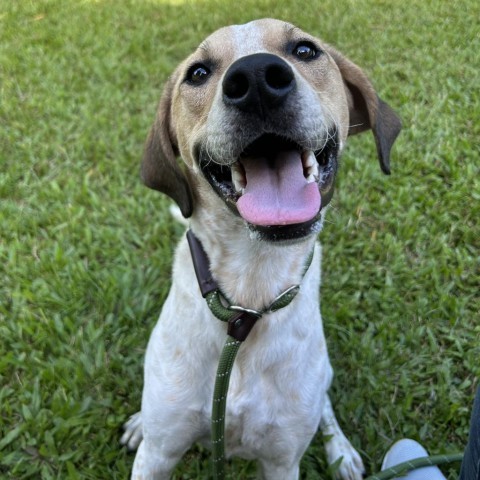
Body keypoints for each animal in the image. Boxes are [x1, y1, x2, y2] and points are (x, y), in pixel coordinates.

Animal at [121, 16, 402, 478]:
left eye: (305, 50)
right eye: (198, 73)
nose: (255, 79)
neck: (246, 302)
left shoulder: (281, 461)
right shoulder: (158, 455)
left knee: (325, 404)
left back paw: (340, 450)